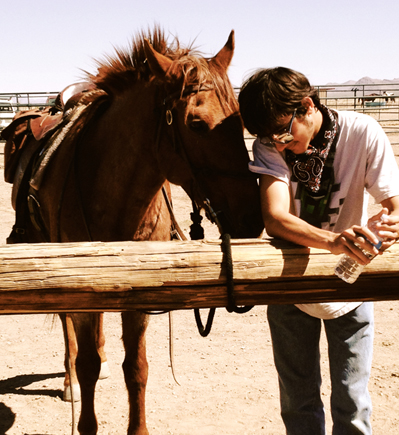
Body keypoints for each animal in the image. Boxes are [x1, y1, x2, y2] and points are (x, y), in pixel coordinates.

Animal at [3, 28, 266, 435]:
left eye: (239, 120)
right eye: (195, 123)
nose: (251, 218)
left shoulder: (139, 293)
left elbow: (137, 367)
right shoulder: (80, 289)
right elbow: (87, 366)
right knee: (69, 332)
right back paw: (68, 382)